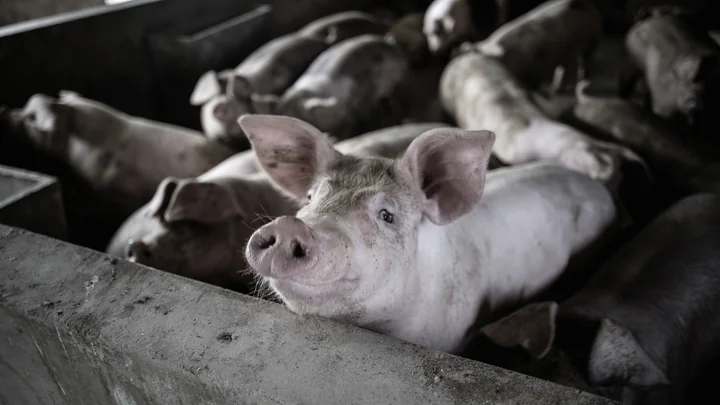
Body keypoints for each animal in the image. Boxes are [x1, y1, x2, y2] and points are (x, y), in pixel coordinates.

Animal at [473, 0, 603, 94]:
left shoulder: (543, 64)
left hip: (592, 39)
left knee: (584, 60)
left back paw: (582, 81)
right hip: (568, 51)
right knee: (567, 66)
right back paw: (560, 89)